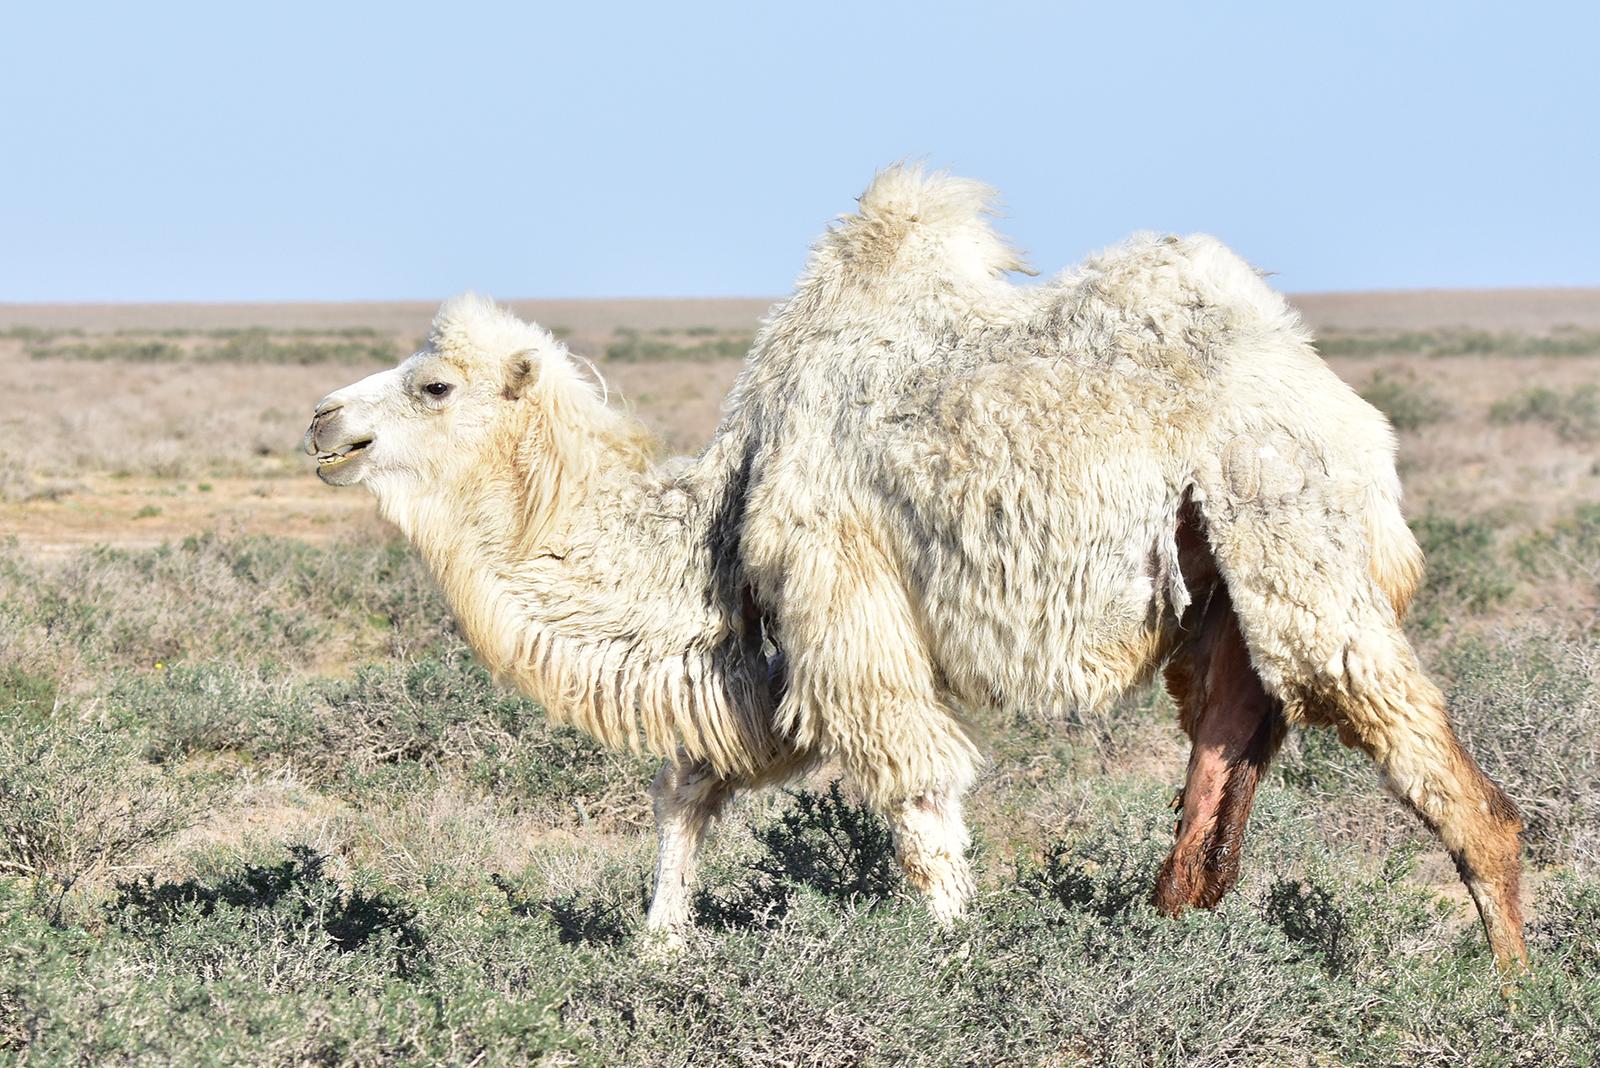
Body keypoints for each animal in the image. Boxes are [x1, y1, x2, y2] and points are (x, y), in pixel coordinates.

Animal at [303, 166, 1525, 968]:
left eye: (433, 386)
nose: (322, 420)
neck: (719, 509)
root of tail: (1345, 409)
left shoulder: (835, 588)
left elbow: (915, 790)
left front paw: (953, 966)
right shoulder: (769, 653)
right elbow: (694, 780)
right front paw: (659, 947)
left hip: (1285, 518)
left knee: (1397, 732)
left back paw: (1506, 985)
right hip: (1219, 575)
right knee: (1229, 735)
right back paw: (1175, 936)